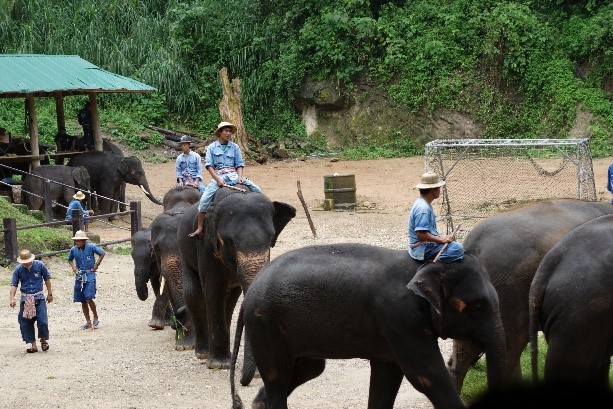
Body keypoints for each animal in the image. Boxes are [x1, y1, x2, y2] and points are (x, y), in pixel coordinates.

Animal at [175, 186, 296, 374]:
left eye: (271, 239)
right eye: (229, 241)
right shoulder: (205, 246)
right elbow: (213, 288)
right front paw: (219, 365)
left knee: (230, 299)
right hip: (184, 250)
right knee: (194, 294)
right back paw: (202, 353)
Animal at [230, 242, 506, 408]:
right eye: (478, 306)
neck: (426, 265)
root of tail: (249, 293)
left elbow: (387, 375)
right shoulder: (400, 317)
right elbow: (427, 375)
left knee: (308, 368)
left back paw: (259, 403)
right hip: (265, 324)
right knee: (277, 375)